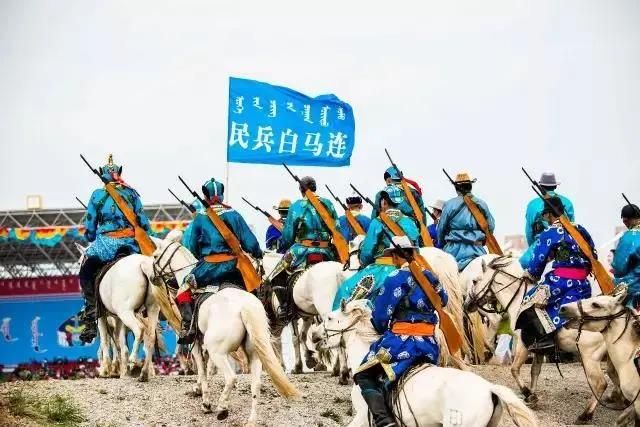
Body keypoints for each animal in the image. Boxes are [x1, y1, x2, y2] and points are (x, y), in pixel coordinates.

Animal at [75, 240, 179, 382]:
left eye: (79, 262)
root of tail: (142, 264)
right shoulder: (118, 319)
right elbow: (120, 344)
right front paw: (122, 372)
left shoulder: (101, 317)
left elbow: (106, 342)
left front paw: (106, 370)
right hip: (151, 309)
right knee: (150, 337)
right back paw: (144, 373)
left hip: (126, 312)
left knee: (139, 330)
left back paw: (133, 361)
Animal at [151, 232, 301, 425]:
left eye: (156, 256)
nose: (153, 277)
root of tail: (245, 307)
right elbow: (207, 368)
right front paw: (199, 389)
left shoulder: (196, 344)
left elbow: (202, 369)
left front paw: (205, 401)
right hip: (254, 353)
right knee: (256, 384)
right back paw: (251, 421)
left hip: (219, 352)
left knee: (231, 377)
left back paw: (222, 408)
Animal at [463, 254, 618, 424]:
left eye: (475, 281)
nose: (466, 305)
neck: (519, 301)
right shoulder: (538, 349)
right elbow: (534, 372)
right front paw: (531, 396)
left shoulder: (523, 345)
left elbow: (514, 369)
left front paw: (527, 393)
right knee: (614, 375)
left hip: (589, 357)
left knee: (600, 383)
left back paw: (585, 415)